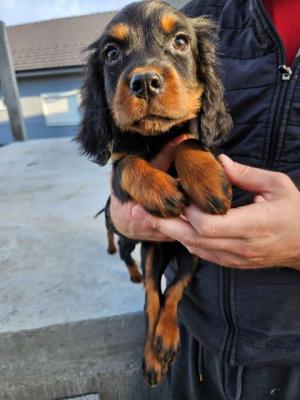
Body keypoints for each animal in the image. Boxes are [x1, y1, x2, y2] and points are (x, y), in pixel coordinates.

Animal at [77, 0, 232, 386]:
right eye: (112, 53)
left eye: (180, 42)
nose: (145, 82)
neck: (156, 138)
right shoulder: (121, 179)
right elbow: (129, 164)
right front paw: (161, 190)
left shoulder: (194, 251)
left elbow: (188, 140)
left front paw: (207, 179)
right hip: (141, 243)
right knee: (141, 281)